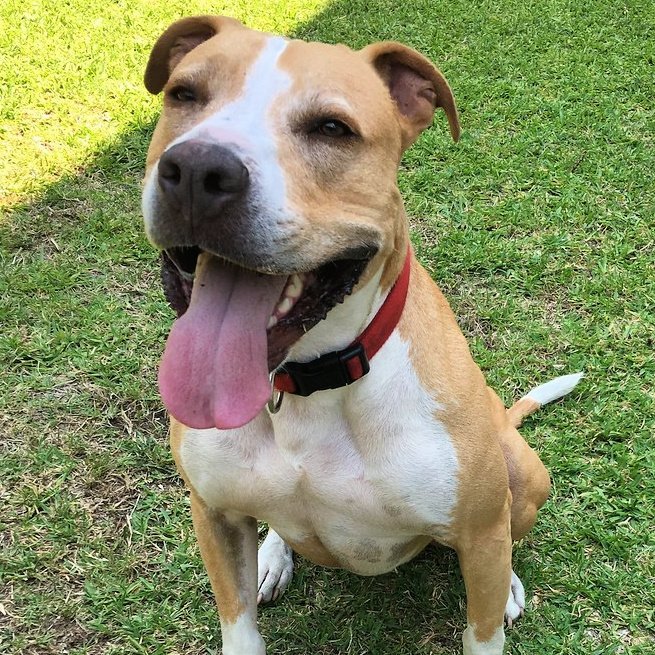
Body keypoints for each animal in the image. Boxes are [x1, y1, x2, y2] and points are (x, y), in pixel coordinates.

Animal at [141, 15, 580, 655]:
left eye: (332, 128)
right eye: (184, 95)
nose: (199, 170)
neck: (309, 381)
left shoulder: (480, 532)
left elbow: (483, 625)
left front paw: (499, 602)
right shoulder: (213, 514)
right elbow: (239, 626)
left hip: (521, 478)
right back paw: (274, 553)